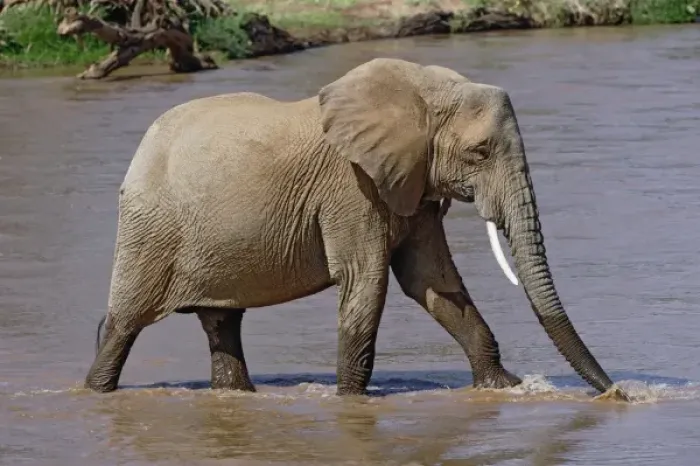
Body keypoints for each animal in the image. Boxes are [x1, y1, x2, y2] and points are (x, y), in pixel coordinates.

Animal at [85, 57, 630, 401]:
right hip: (148, 227)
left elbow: (433, 282)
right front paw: (350, 402)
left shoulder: (412, 182)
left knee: (222, 321)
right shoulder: (352, 187)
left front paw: (502, 388)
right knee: (123, 325)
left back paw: (235, 395)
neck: (424, 88)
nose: (619, 394)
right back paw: (94, 390)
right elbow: (367, 283)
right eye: (480, 152)